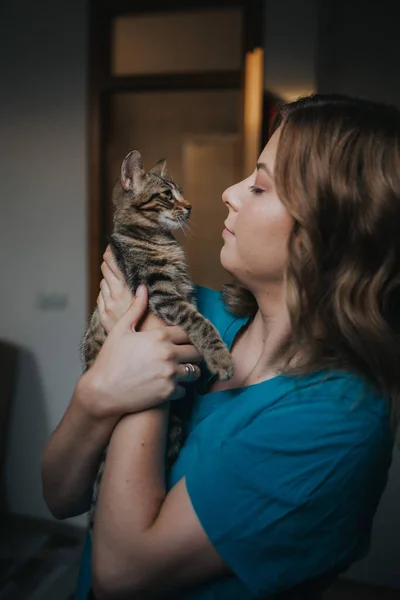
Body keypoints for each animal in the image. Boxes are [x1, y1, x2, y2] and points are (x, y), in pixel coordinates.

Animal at [83, 151, 233, 528]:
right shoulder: (162, 291)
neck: (159, 239)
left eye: (181, 192)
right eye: (167, 194)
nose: (190, 206)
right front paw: (221, 359)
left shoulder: (184, 292)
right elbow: (201, 324)